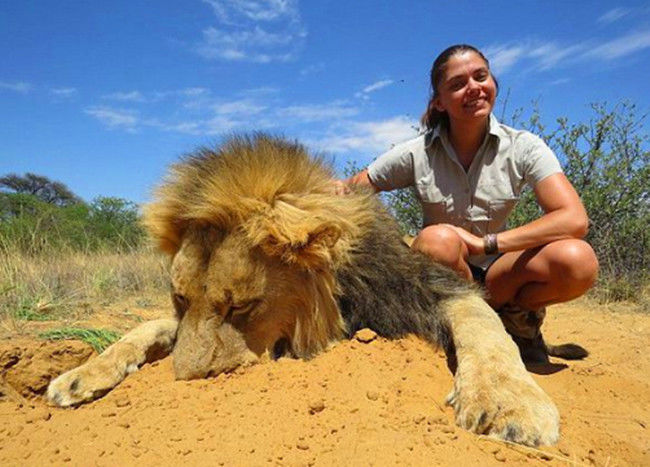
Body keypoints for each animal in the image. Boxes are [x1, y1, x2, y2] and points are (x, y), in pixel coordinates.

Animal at [48, 134, 560, 446]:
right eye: (179, 298)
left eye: (242, 307)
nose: (185, 382)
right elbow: (147, 326)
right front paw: (79, 375)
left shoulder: (421, 285)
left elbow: (481, 322)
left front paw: (507, 401)